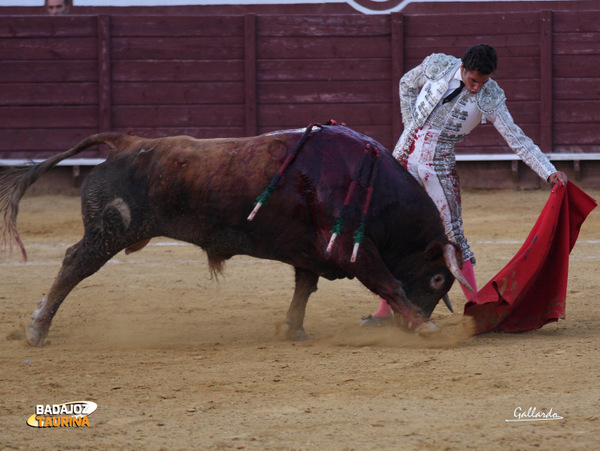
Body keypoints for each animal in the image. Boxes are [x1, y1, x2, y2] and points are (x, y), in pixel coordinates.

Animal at [0, 123, 468, 346]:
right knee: (74, 264)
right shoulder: (354, 249)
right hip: (109, 231)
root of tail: (129, 142)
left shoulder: (312, 252)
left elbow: (304, 288)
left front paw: (293, 329)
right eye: (438, 279)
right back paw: (37, 329)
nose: (410, 324)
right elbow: (388, 282)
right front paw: (425, 328)